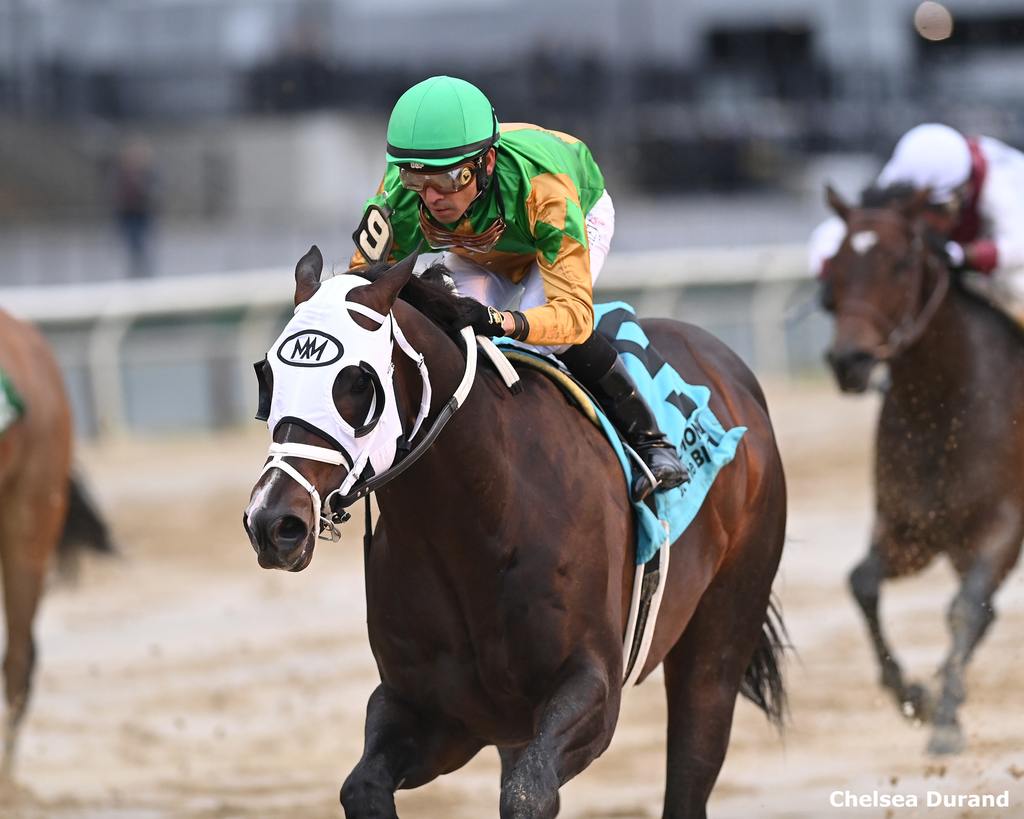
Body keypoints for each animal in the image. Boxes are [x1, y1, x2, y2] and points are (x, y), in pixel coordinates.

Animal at [243, 249, 786, 818]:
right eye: (268, 377)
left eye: (356, 383)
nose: (273, 522)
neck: (479, 519)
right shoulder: (437, 711)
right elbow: (362, 787)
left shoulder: (591, 687)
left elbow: (527, 793)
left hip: (721, 634)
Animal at [823, 184, 1024, 753]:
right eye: (836, 264)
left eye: (900, 262)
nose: (849, 361)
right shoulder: (910, 529)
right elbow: (862, 583)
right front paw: (915, 696)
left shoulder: (1002, 526)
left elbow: (965, 607)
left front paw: (947, 718)